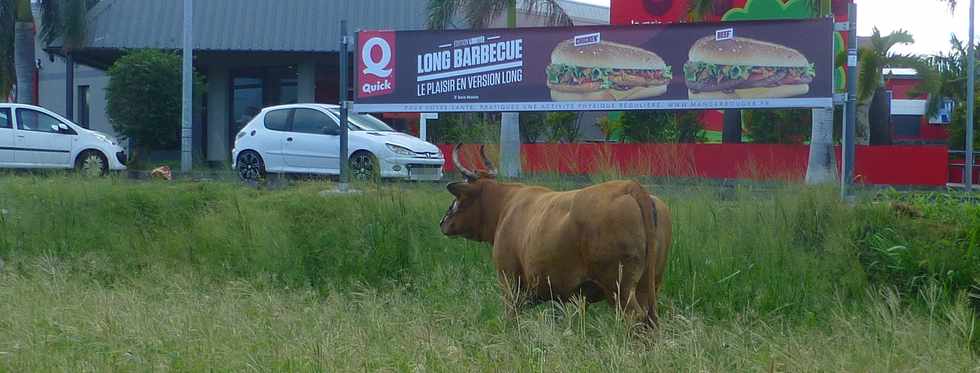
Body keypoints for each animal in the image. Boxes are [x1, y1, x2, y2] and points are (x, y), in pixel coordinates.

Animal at [438, 144, 672, 324]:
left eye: (459, 198)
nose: (443, 222)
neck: (506, 204)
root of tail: (630, 186)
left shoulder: (510, 282)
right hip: (650, 283)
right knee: (650, 318)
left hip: (619, 287)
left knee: (635, 317)